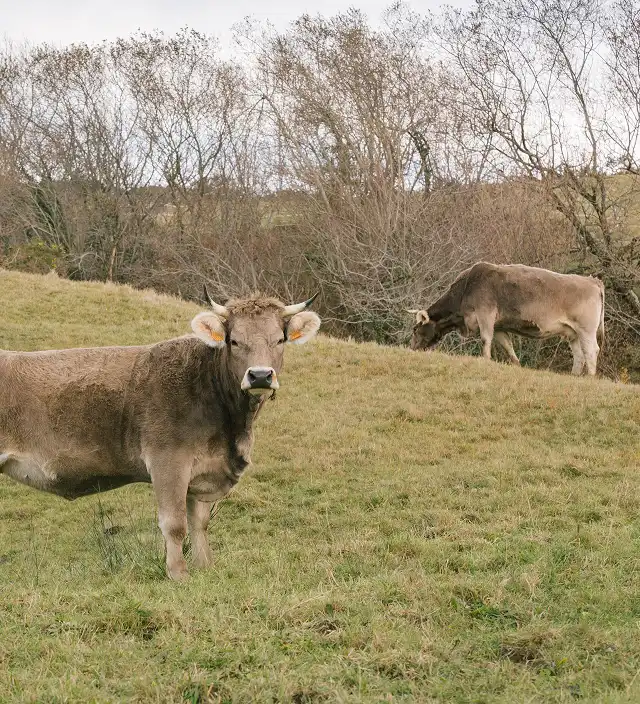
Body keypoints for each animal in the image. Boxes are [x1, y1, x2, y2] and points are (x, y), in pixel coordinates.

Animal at [0, 288, 321, 580]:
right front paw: (178, 574)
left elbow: (199, 522)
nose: (260, 375)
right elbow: (175, 524)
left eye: (279, 339)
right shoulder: (168, 460)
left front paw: (205, 567)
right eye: (234, 341)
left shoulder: (202, 470)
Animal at [408, 262, 605, 376]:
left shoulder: (485, 313)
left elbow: (485, 339)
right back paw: (575, 375)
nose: (411, 348)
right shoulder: (499, 326)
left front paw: (486, 360)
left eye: (415, 329)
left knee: (591, 350)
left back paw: (590, 377)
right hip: (572, 333)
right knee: (579, 354)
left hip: (586, 329)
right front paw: (517, 365)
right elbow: (507, 346)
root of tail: (592, 281)